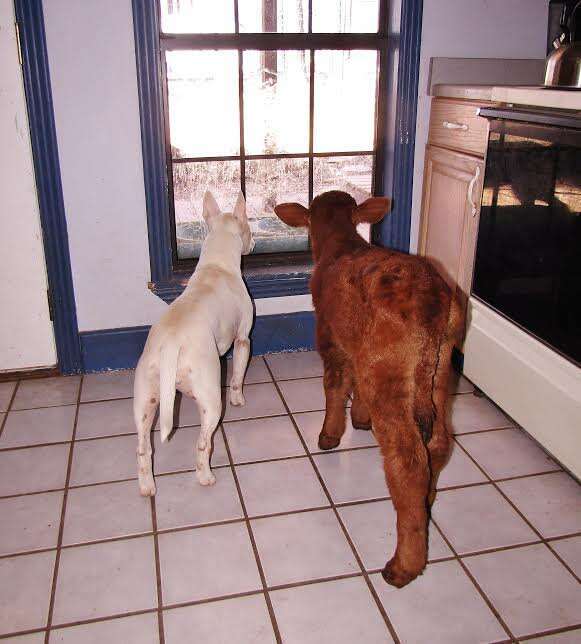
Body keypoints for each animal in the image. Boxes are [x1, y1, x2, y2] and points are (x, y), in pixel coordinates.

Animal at [137, 190, 255, 494]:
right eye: (249, 228)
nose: (254, 243)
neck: (217, 265)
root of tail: (170, 345)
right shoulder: (243, 340)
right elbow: (237, 376)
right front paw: (239, 399)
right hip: (211, 400)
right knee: (203, 443)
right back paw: (205, 477)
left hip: (145, 399)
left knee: (143, 448)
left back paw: (147, 487)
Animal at [276, 191, 462, 588]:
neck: (342, 245)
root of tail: (431, 300)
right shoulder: (358, 349)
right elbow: (354, 388)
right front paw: (360, 420)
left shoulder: (330, 339)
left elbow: (334, 388)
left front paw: (329, 435)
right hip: (441, 368)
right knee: (439, 442)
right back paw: (427, 503)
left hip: (389, 372)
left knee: (408, 461)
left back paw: (403, 565)